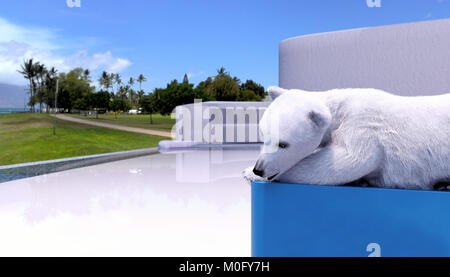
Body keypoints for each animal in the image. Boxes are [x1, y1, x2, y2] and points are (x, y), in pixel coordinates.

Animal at [244, 86, 450, 190]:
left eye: (283, 144)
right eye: (263, 137)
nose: (259, 169)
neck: (340, 109)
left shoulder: (363, 126)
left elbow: (348, 161)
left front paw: (247, 173)